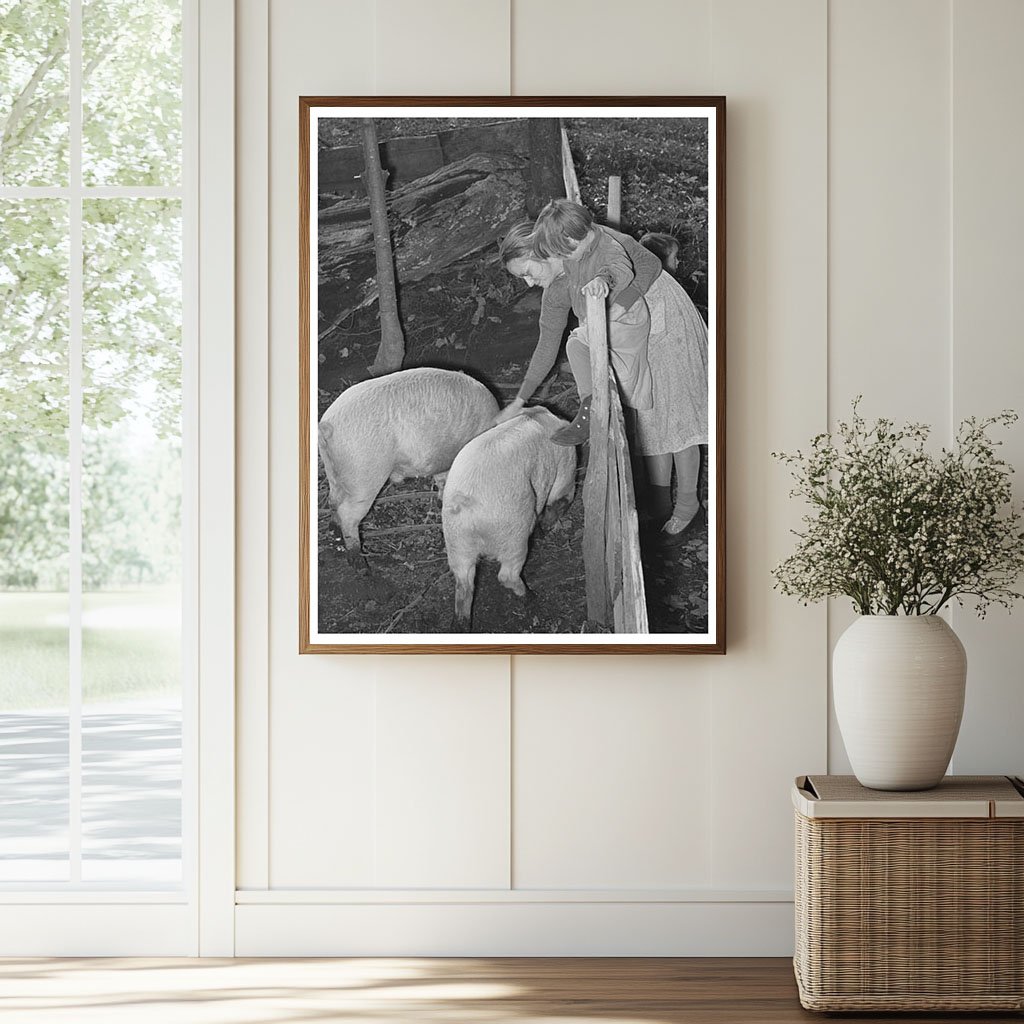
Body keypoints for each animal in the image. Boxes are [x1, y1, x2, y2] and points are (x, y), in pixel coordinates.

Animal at [317, 368, 497, 557]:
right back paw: (359, 559)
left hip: (334, 470)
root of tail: (328, 425)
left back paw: (335, 531)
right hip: (363, 474)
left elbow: (442, 481)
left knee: (333, 500)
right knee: (348, 514)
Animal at [440, 407, 577, 622]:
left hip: (455, 540)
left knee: (464, 583)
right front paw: (546, 529)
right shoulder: (566, 470)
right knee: (507, 575)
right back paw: (532, 597)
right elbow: (560, 497)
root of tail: (464, 505)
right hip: (513, 531)